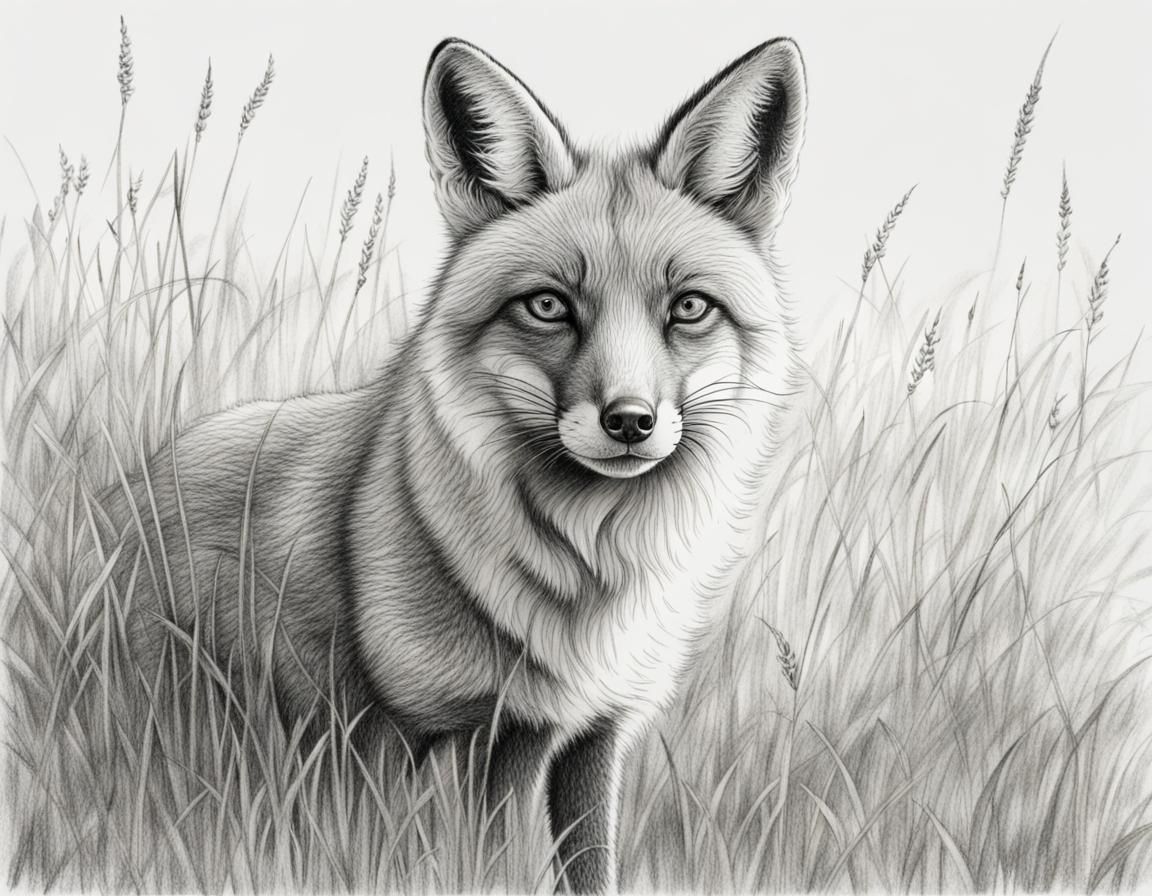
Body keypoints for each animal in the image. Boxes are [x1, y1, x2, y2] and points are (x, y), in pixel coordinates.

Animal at [107, 36, 807, 893]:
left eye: (690, 308)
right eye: (548, 306)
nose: (630, 422)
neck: (587, 575)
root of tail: (142, 476)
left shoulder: (591, 736)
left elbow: (589, 867)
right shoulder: (460, 733)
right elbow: (483, 868)